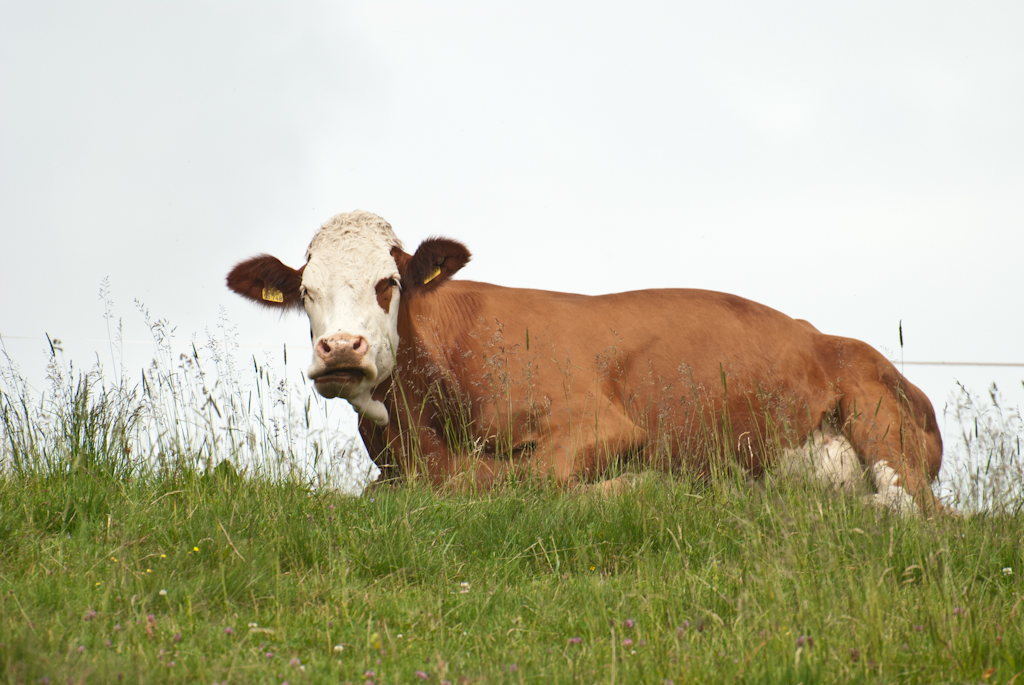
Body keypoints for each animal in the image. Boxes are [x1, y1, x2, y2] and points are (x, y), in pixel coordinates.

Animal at [226, 208, 942, 511]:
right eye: (307, 292)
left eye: (389, 283)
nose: (341, 350)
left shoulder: (603, 424)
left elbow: (528, 479)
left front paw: (637, 487)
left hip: (880, 421)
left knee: (916, 510)